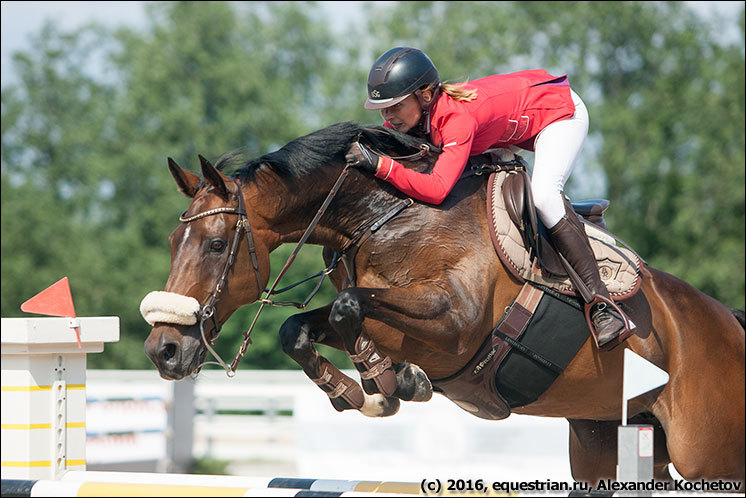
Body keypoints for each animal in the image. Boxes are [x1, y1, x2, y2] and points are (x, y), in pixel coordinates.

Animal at [142, 120, 740, 486]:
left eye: (216, 245)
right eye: (172, 242)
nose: (162, 350)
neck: (381, 217)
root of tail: (729, 324)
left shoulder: (455, 324)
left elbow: (348, 306)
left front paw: (392, 384)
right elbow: (308, 326)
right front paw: (367, 390)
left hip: (706, 453)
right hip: (605, 439)